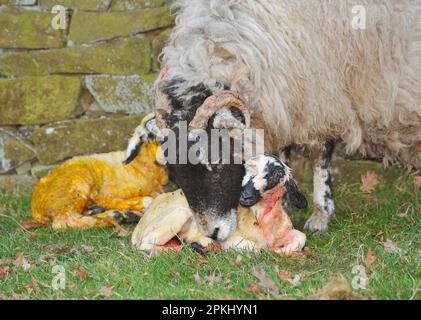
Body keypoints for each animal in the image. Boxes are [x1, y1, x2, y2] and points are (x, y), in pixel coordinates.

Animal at [31, 115, 169, 230]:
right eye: (152, 136)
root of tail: (35, 206)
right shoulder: (104, 196)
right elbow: (148, 200)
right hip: (76, 186)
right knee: (64, 220)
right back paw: (115, 215)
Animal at [125, 0, 420, 238]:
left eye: (216, 164)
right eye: (174, 172)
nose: (213, 234)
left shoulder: (319, 94)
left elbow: (319, 156)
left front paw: (321, 214)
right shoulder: (284, 99)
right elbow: (282, 150)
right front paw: (284, 198)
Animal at [130, 154, 306, 255]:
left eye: (276, 174)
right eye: (245, 171)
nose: (245, 196)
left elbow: (301, 238)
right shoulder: (232, 237)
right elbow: (255, 247)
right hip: (177, 215)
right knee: (144, 244)